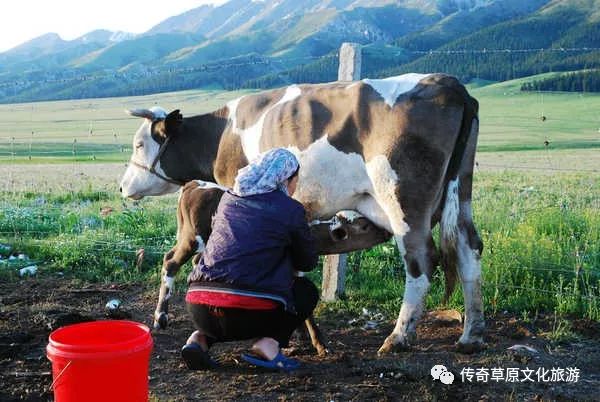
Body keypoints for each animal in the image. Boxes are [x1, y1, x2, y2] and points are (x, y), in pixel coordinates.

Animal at [119, 74, 486, 354]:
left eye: (139, 144)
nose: (123, 187)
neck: (224, 133)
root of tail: (448, 83)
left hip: (404, 201)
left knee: (420, 260)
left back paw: (398, 337)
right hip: (461, 190)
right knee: (468, 249)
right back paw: (471, 335)